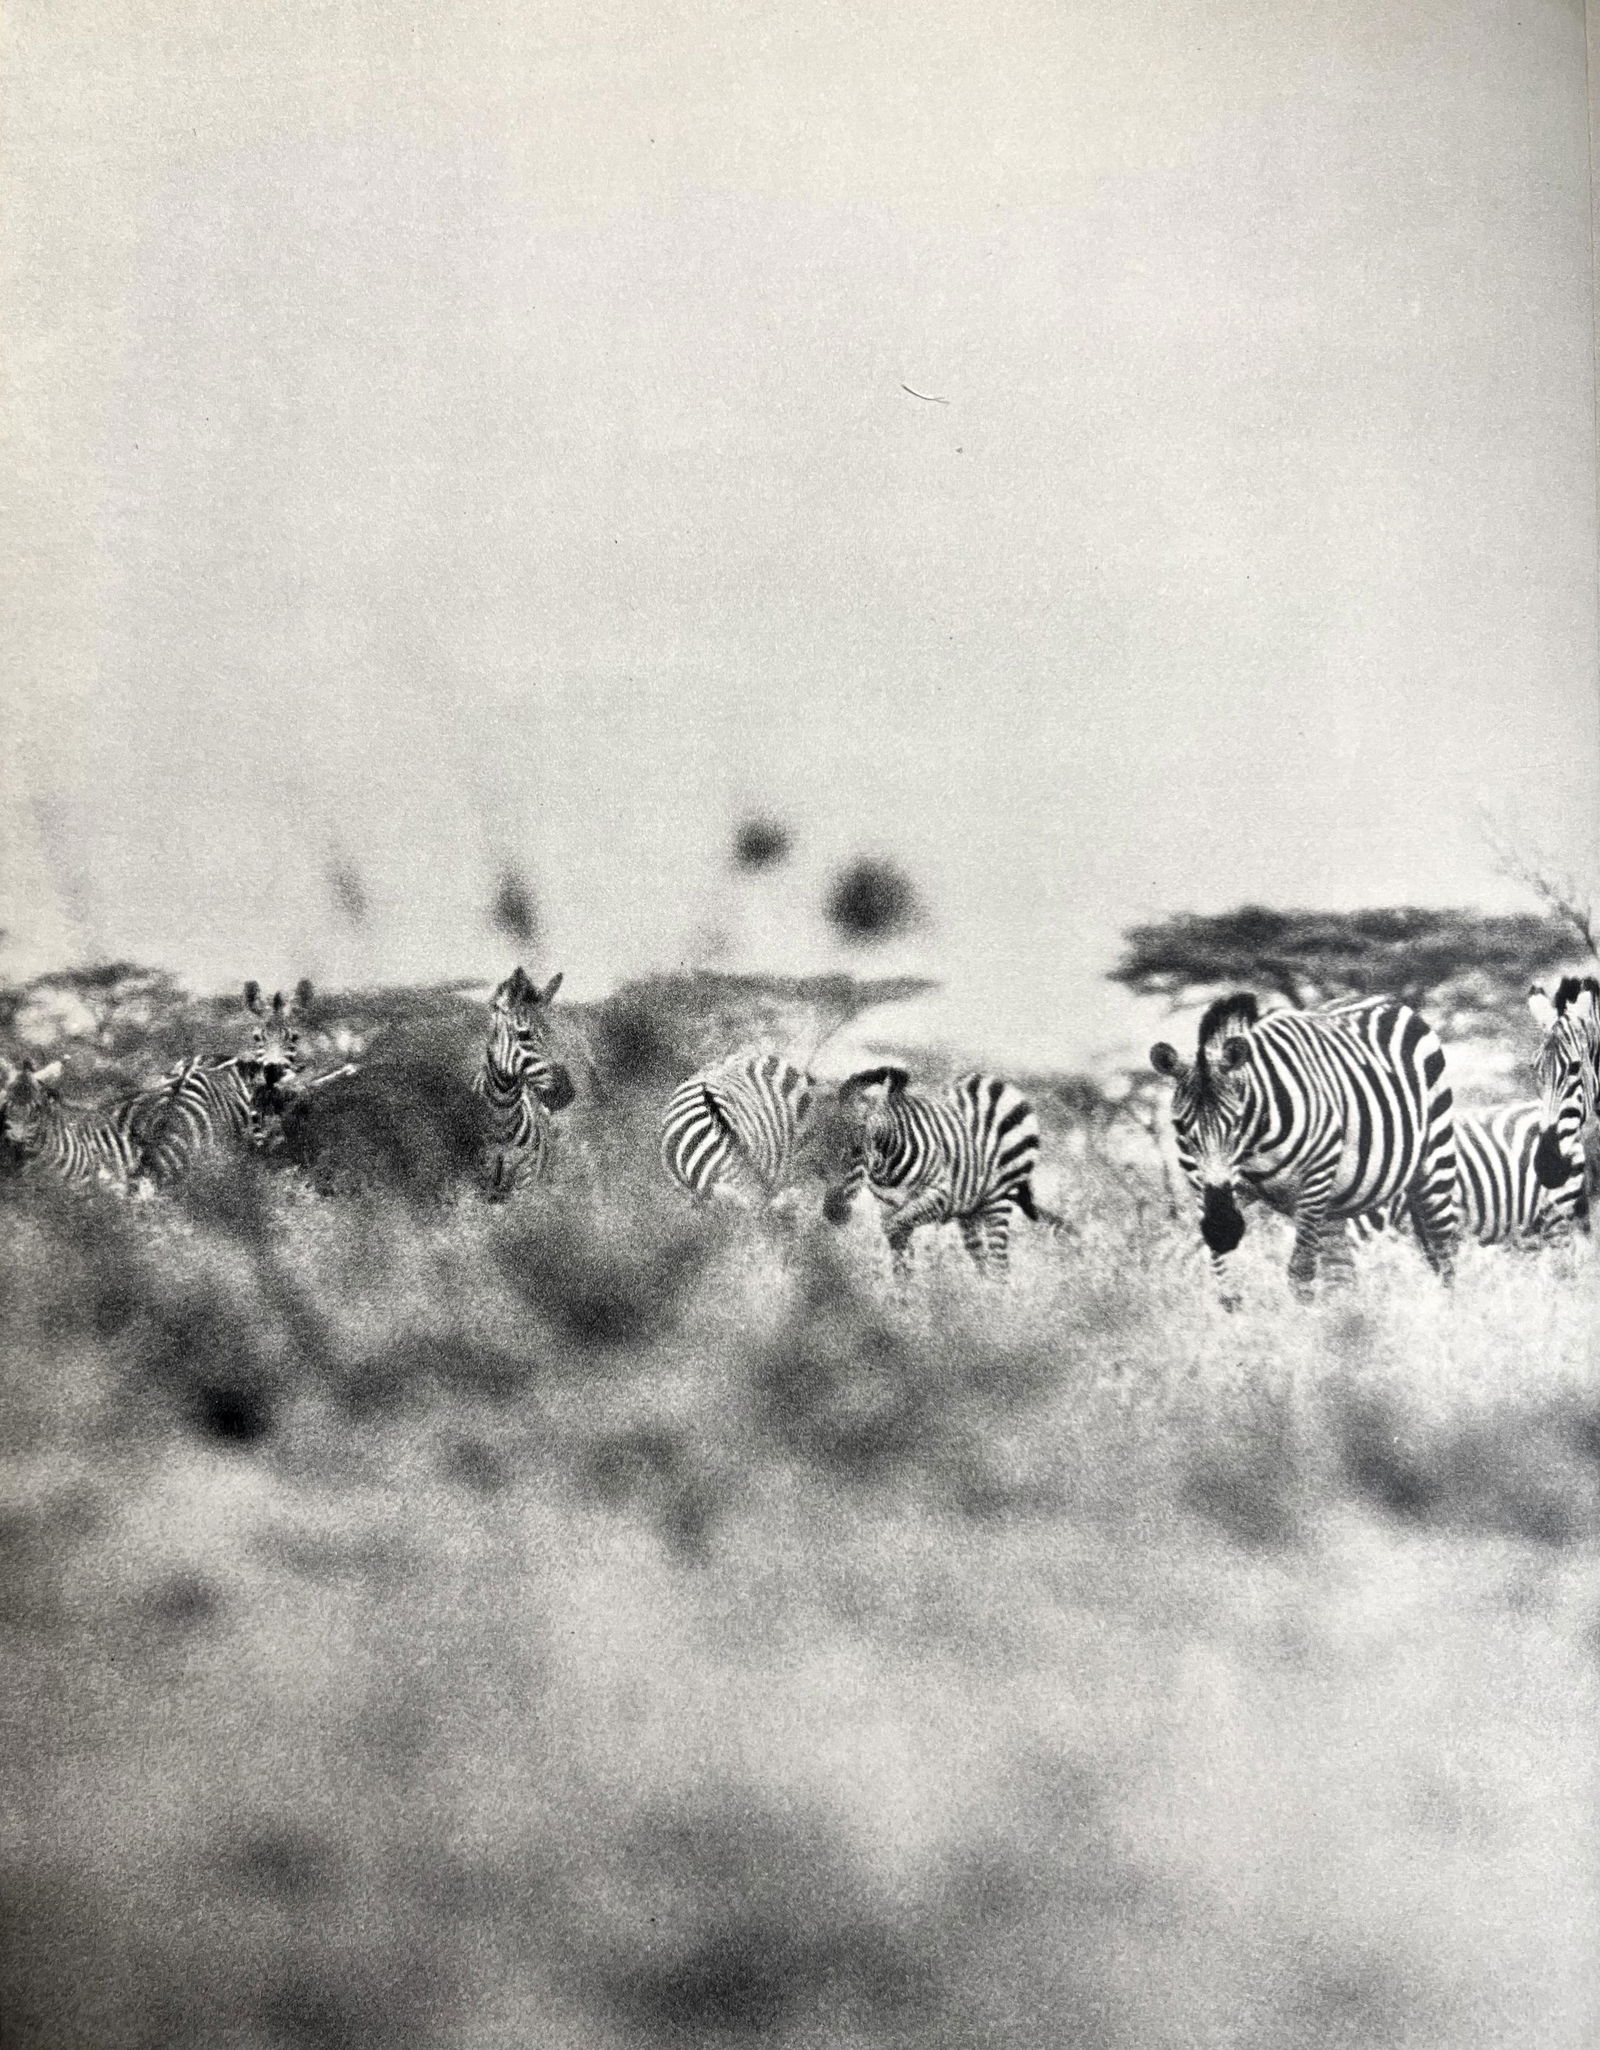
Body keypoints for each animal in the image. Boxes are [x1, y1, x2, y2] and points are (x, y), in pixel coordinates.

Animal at [820, 1065, 1052, 1278]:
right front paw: (903, 1293)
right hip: (969, 1210)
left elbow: (895, 1230)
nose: (834, 1212)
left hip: (999, 1199)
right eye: (820, 1145)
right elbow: (900, 1253)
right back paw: (980, 1294)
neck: (886, 1169)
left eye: (857, 1150)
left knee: (1000, 1266)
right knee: (983, 1261)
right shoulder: (888, 1206)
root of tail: (998, 1082)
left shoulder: (940, 1196)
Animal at [1149, 993, 1459, 1299]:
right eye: (1179, 1126)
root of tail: (1384, 998)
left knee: (1443, 1250)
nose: (1223, 1228)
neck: (1253, 1144)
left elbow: (1301, 1271)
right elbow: (1223, 1279)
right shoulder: (1204, 1187)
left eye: (1237, 1121)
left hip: (1433, 1161)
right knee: (1342, 1272)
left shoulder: (1315, 1176)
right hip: (1335, 1204)